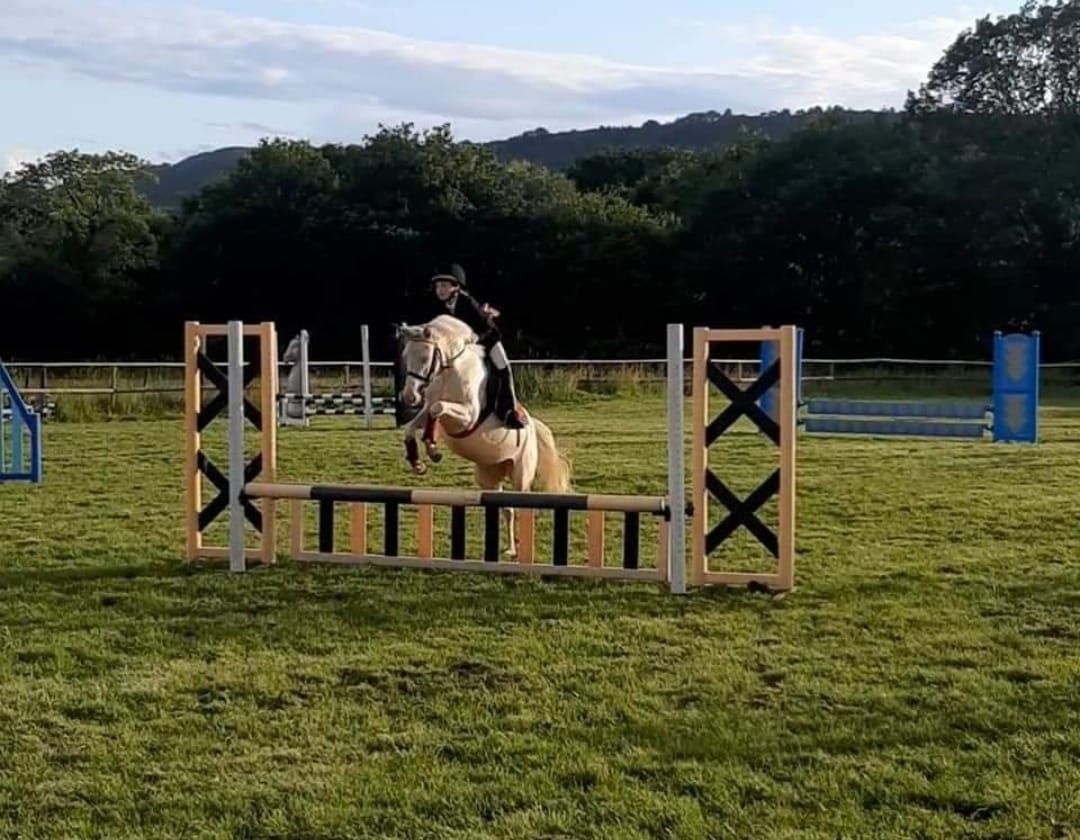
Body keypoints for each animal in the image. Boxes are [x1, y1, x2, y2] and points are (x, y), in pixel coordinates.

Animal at [393, 315, 570, 557]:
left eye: (424, 357)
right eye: (406, 357)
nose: (409, 396)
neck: (449, 372)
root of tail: (533, 427)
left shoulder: (467, 416)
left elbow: (437, 408)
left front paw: (431, 447)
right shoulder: (429, 410)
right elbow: (414, 424)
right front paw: (417, 462)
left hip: (521, 474)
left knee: (521, 506)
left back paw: (519, 550)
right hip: (489, 478)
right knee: (506, 509)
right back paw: (509, 549)